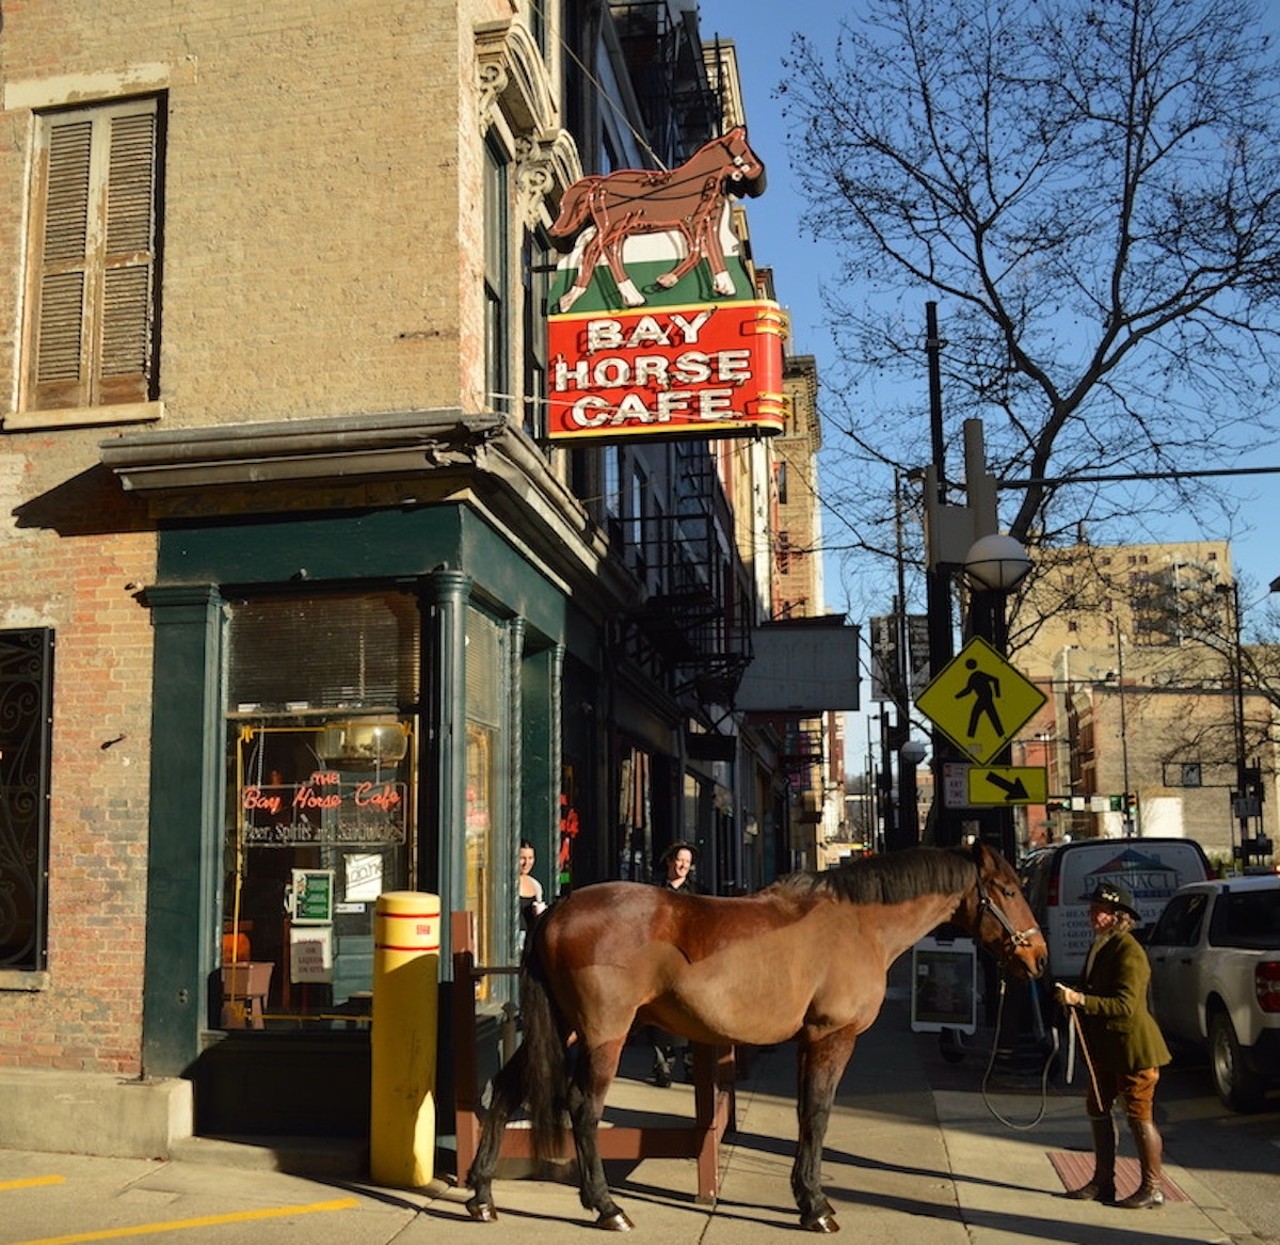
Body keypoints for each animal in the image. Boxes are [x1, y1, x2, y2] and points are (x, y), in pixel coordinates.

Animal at [465, 839, 1044, 1228]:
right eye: (1009, 889)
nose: (1037, 957)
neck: (859, 924)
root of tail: (558, 911)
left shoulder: (809, 1041)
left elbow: (806, 1114)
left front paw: (805, 1197)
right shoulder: (832, 1036)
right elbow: (819, 1114)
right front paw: (816, 1207)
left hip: (562, 1028)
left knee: (506, 1090)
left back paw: (482, 1194)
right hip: (603, 1033)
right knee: (583, 1108)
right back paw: (607, 1208)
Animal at [547, 124, 762, 313]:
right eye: (742, 149)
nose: (757, 170)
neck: (701, 180)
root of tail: (598, 183)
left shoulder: (709, 221)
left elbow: (713, 248)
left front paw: (725, 287)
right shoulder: (691, 220)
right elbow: (695, 251)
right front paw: (666, 280)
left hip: (618, 227)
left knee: (603, 250)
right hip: (615, 224)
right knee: (597, 249)